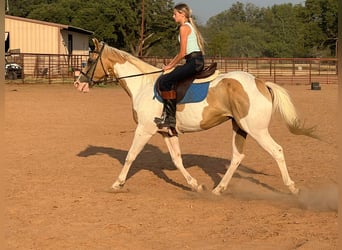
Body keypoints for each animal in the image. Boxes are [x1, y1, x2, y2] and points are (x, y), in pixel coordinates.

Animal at [73, 38, 316, 195]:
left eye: (89, 61)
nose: (78, 83)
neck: (142, 84)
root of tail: (260, 82)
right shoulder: (166, 132)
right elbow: (177, 160)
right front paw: (196, 185)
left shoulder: (144, 129)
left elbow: (131, 156)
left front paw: (117, 184)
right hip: (239, 127)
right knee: (237, 157)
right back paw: (218, 189)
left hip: (256, 129)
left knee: (277, 151)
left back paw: (292, 188)